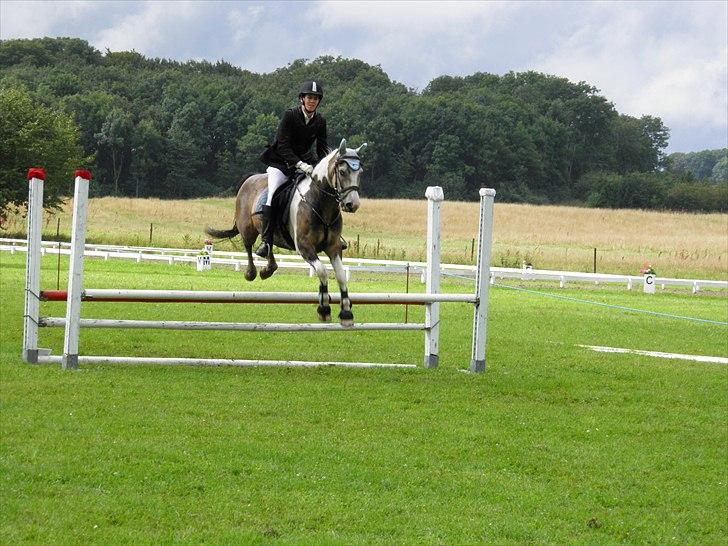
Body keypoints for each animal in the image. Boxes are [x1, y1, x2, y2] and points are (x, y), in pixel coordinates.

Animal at [205, 138, 364, 326]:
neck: (320, 204)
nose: (352, 205)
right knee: (249, 246)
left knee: (268, 243)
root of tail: (250, 179)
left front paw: (346, 312)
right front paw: (324, 309)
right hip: (247, 228)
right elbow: (322, 271)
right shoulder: (305, 247)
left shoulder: (333, 247)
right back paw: (251, 273)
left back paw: (268, 269)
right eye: (342, 171)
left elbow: (340, 275)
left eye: (360, 172)